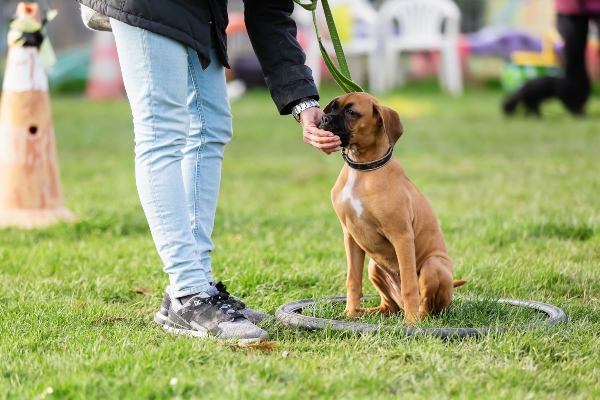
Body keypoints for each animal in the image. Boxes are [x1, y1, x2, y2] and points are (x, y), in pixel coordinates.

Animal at [322, 92, 466, 324]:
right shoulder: (350, 236)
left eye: (351, 112)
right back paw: (367, 312)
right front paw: (350, 315)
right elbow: (353, 281)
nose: (324, 119)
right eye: (332, 108)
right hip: (374, 266)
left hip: (433, 264)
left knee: (427, 306)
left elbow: (409, 284)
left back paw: (417, 319)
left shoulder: (402, 236)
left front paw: (411, 324)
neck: (362, 169)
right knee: (389, 306)